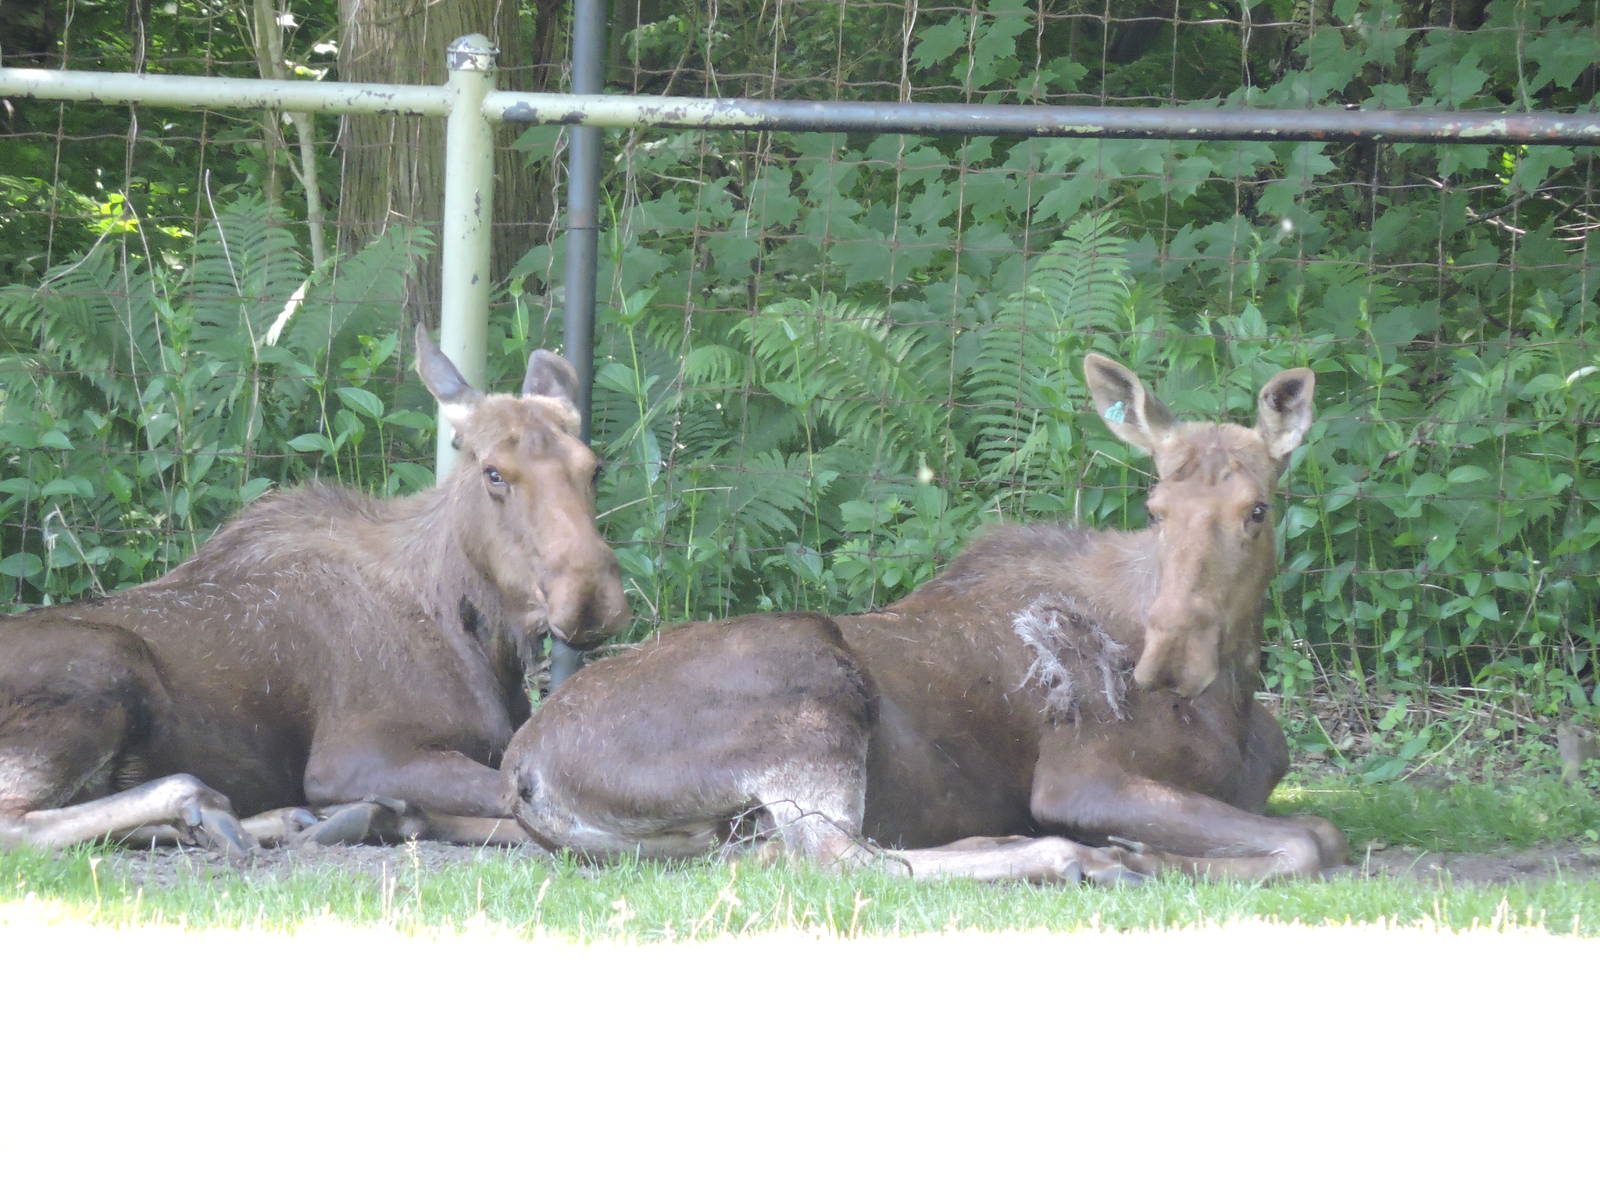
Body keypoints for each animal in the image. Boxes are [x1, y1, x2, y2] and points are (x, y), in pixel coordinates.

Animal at [0, 328, 629, 857]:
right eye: (494, 472)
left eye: (593, 467)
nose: (591, 598)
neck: (478, 640)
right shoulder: (351, 757)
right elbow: (521, 804)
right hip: (107, 661)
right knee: (20, 825)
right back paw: (208, 807)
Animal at [498, 354, 1346, 883]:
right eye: (1156, 506)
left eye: (1257, 510)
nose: (1166, 661)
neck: (1232, 700)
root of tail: (522, 770)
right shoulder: (1079, 777)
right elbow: (1310, 838)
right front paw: (1144, 853)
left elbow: (1317, 829)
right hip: (809, 688)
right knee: (839, 856)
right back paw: (1074, 858)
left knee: (777, 854)